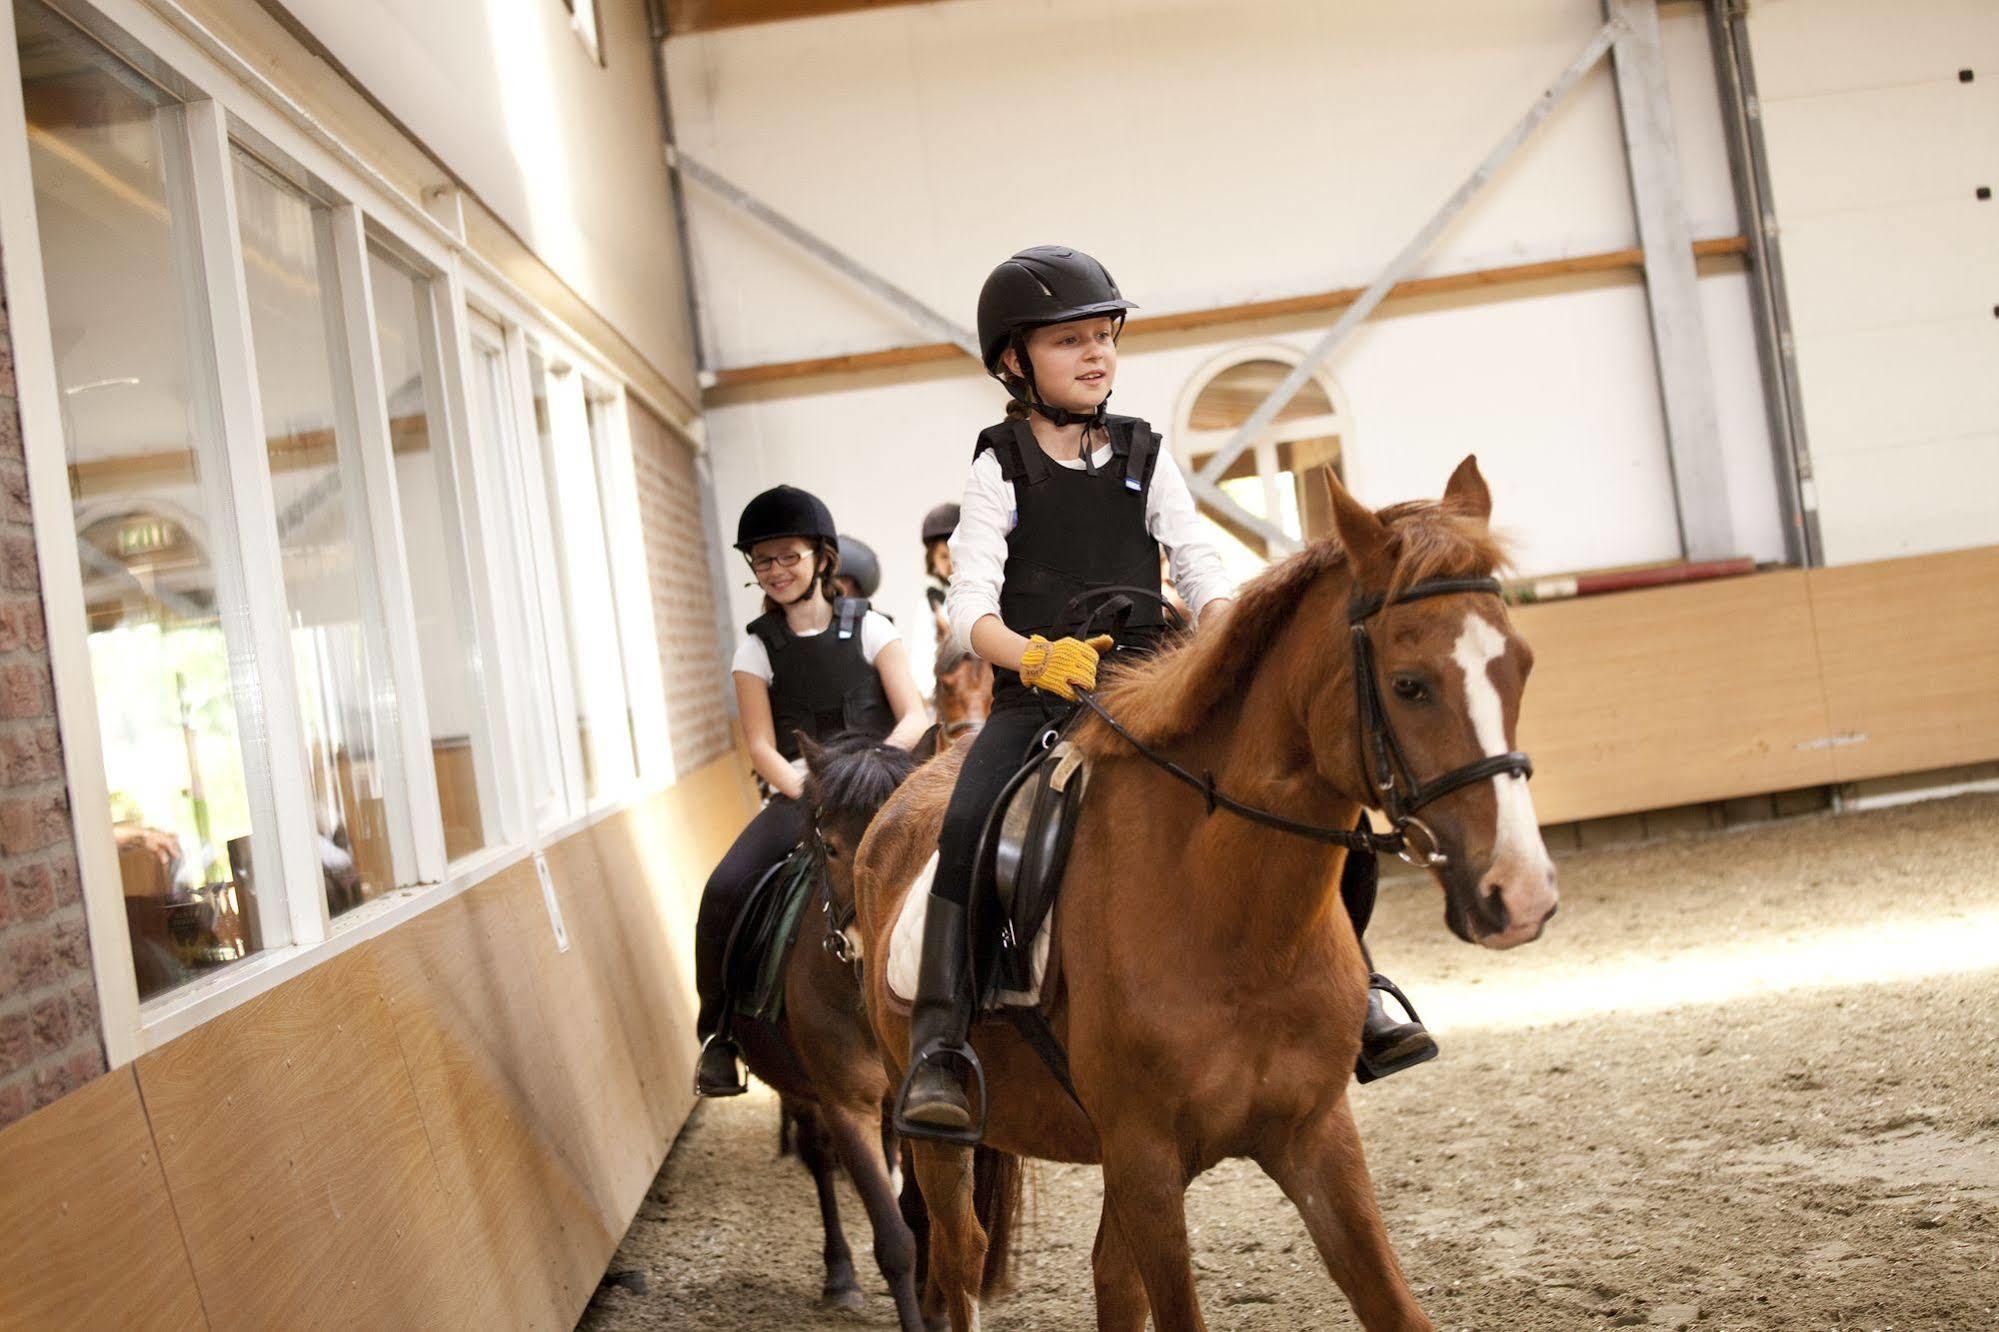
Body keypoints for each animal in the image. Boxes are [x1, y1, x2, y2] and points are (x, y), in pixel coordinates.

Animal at [851, 452, 1551, 1320]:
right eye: (1410, 684)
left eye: (1519, 665)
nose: (1520, 894)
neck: (1232, 923)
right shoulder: (1147, 1161)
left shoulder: (1314, 1137)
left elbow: (1392, 1306)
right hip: (939, 1135)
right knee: (958, 1255)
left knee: (1106, 1278)